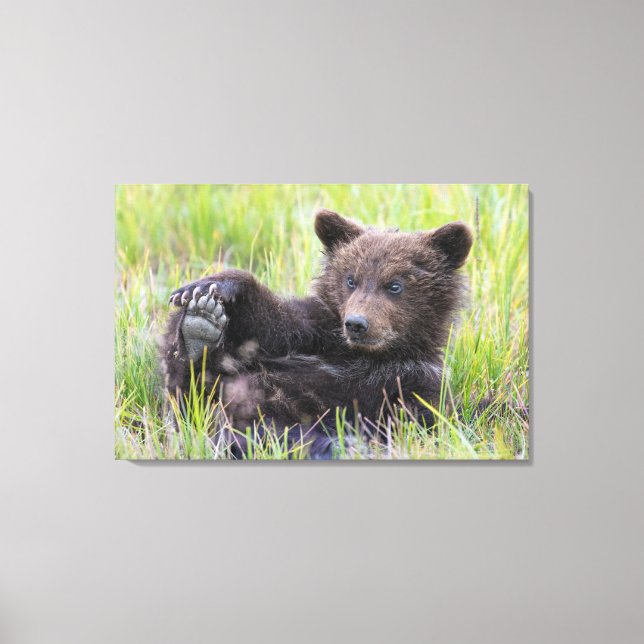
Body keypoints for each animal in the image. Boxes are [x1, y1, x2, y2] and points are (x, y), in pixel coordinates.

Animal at [160, 210, 473, 459]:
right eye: (351, 279)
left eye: (395, 285)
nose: (357, 324)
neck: (370, 355)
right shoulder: (317, 334)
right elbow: (276, 323)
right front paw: (210, 287)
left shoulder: (414, 380)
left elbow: (409, 425)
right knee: (189, 393)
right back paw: (198, 329)